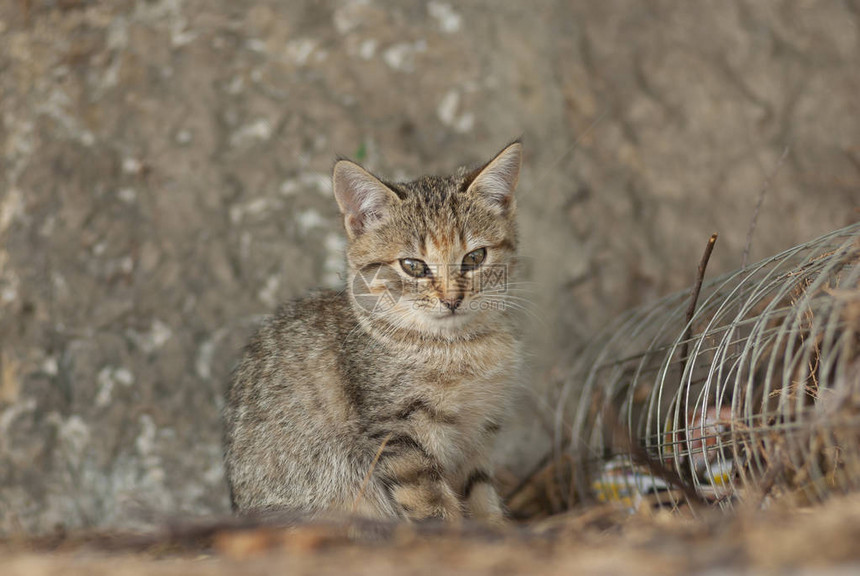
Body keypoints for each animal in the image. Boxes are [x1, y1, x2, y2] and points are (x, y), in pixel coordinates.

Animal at [223, 142, 524, 524]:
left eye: (475, 258)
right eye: (413, 266)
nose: (452, 299)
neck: (458, 345)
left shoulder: (478, 438)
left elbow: (484, 501)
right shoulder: (397, 433)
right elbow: (434, 507)